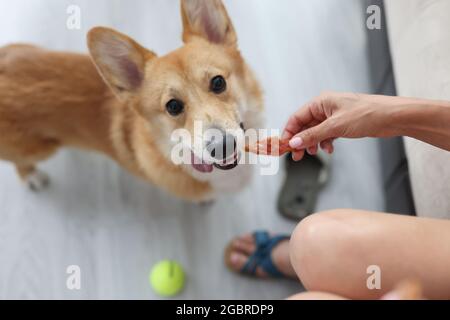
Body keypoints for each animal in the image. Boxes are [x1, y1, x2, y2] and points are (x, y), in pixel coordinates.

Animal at [0, 0, 264, 202]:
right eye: (173, 106)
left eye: (218, 82)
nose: (222, 146)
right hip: (40, 149)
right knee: (19, 162)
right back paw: (32, 177)